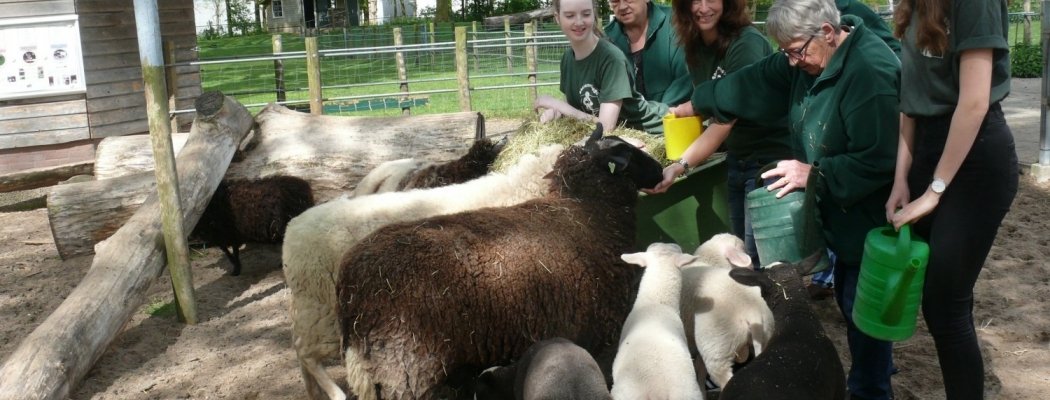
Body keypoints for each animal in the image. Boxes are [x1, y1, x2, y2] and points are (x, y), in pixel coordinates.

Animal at [283, 142, 567, 398]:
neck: (516, 190)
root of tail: (292, 229)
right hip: (323, 311)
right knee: (305, 352)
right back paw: (335, 394)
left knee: (300, 349)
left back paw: (313, 393)